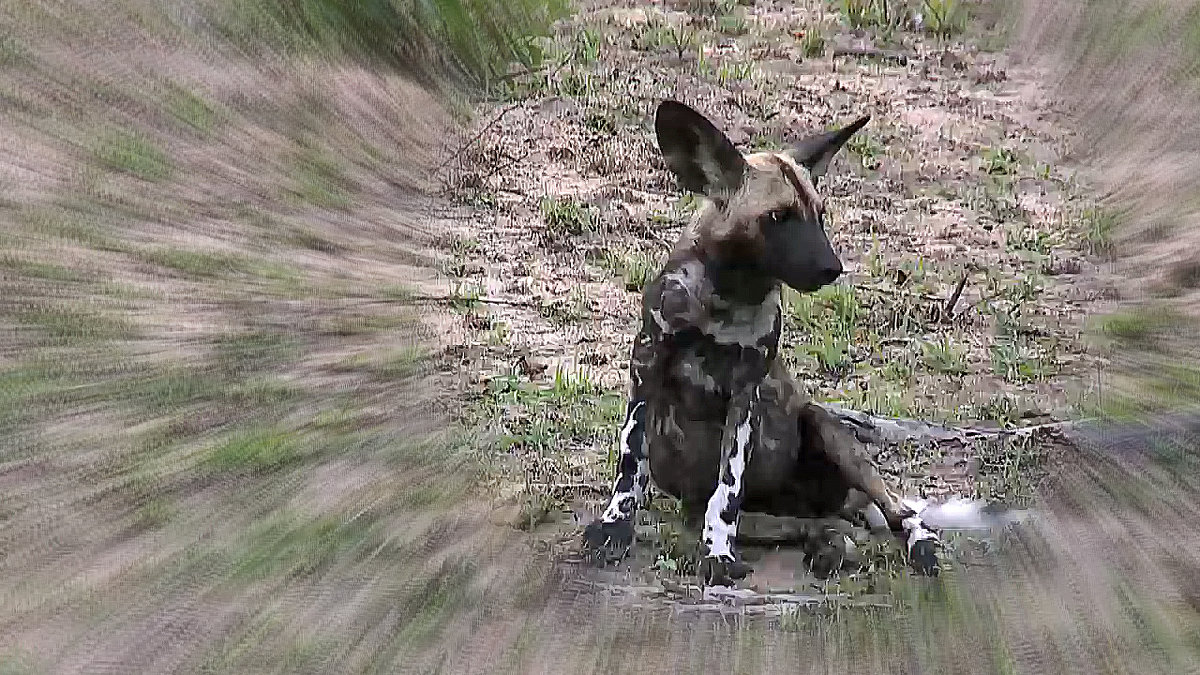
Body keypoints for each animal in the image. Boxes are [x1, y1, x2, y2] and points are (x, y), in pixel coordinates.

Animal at [585, 99, 940, 583]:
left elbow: (726, 493)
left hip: (831, 433)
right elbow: (630, 464)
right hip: (733, 511)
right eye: (777, 217)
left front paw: (718, 553)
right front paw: (614, 527)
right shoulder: (647, 368)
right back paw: (828, 547)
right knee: (813, 525)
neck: (726, 300)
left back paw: (916, 546)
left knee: (898, 511)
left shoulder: (744, 396)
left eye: (820, 215)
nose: (832, 268)